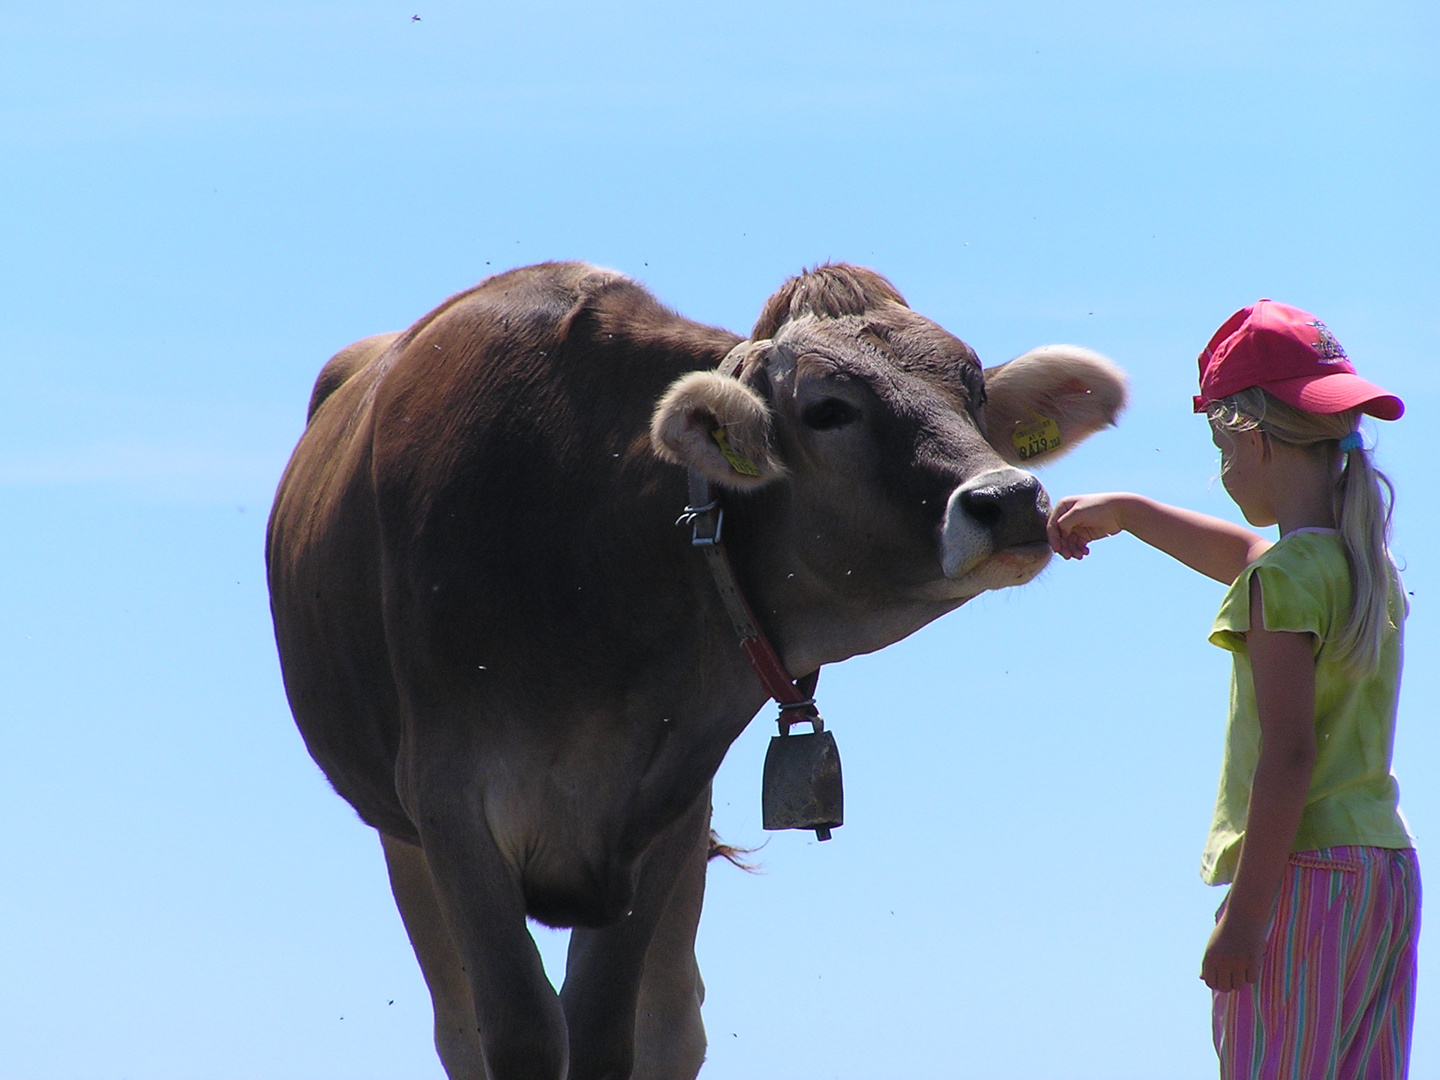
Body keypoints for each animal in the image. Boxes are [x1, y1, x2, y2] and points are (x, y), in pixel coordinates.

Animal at [267, 264, 1123, 1080]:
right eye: (827, 410)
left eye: (974, 391)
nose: (1009, 498)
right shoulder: (449, 806)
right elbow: (520, 1037)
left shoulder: (665, 811)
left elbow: (605, 1038)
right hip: (400, 831)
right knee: (459, 1027)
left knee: (673, 1024)